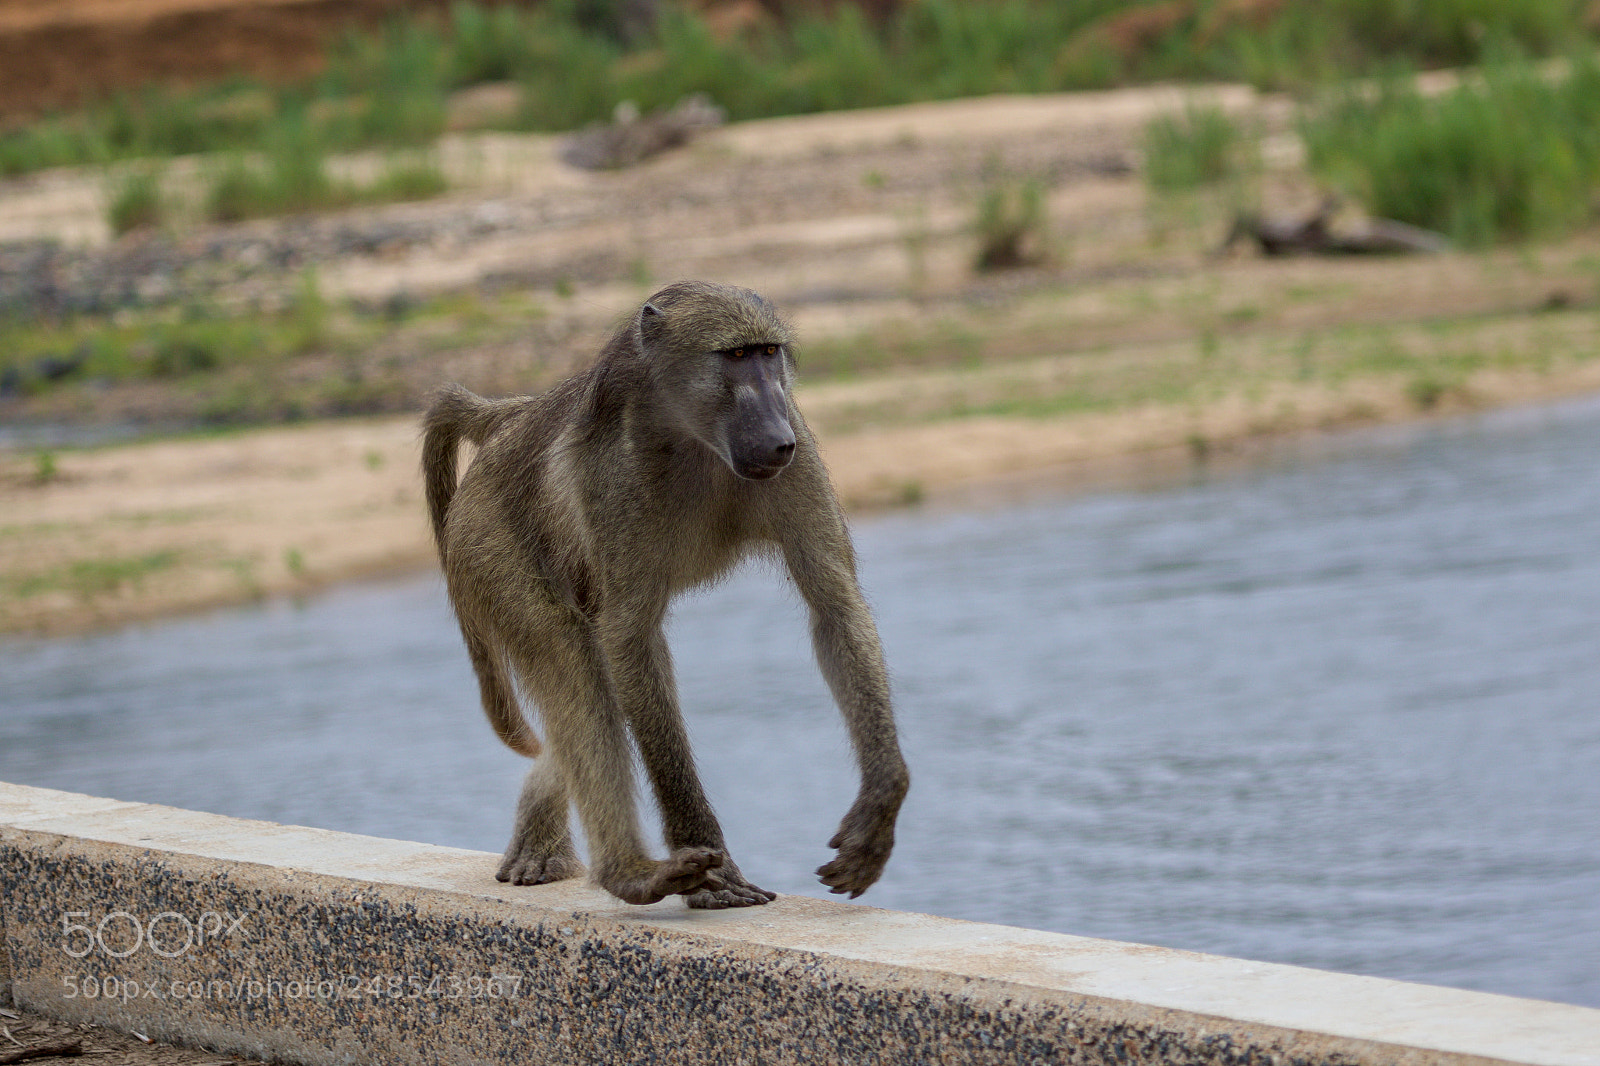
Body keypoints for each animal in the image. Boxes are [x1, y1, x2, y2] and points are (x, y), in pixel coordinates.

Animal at [422, 280, 908, 909]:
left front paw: (880, 806)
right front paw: (712, 863)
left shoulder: (797, 447)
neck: (691, 435)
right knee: (575, 658)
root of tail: (513, 419)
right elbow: (630, 639)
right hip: (485, 540)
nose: (777, 440)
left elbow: (834, 605)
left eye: (768, 353)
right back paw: (630, 873)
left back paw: (543, 838)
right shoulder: (614, 480)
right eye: (734, 356)